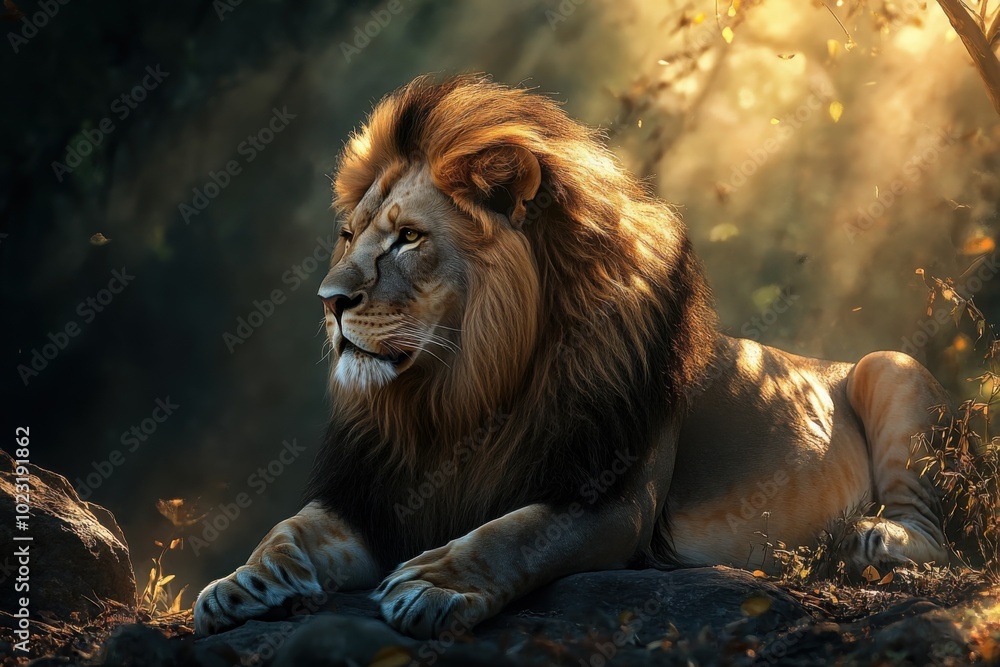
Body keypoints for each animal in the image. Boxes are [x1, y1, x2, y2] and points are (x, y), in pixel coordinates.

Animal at [194, 75, 952, 639]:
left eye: (409, 238)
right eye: (348, 236)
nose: (328, 301)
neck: (461, 392)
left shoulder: (614, 498)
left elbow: (516, 533)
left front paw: (432, 583)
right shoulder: (377, 491)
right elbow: (289, 528)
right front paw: (238, 584)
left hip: (891, 367)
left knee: (937, 535)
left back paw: (866, 540)